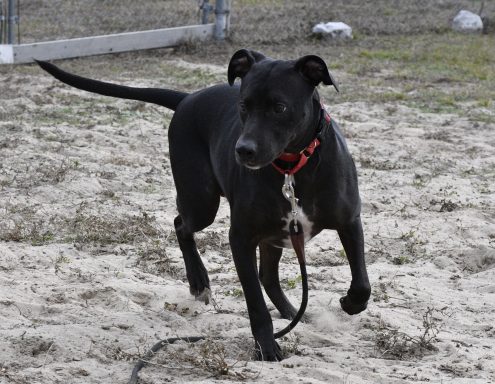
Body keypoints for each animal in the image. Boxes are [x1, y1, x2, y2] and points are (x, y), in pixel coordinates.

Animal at [36, 50, 370, 360]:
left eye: (280, 107)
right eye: (243, 105)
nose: (243, 150)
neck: (293, 167)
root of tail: (187, 98)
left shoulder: (349, 221)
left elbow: (362, 282)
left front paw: (350, 303)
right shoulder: (241, 238)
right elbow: (255, 304)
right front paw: (266, 347)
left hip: (268, 229)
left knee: (267, 275)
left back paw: (291, 312)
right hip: (201, 201)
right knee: (181, 225)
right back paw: (199, 282)